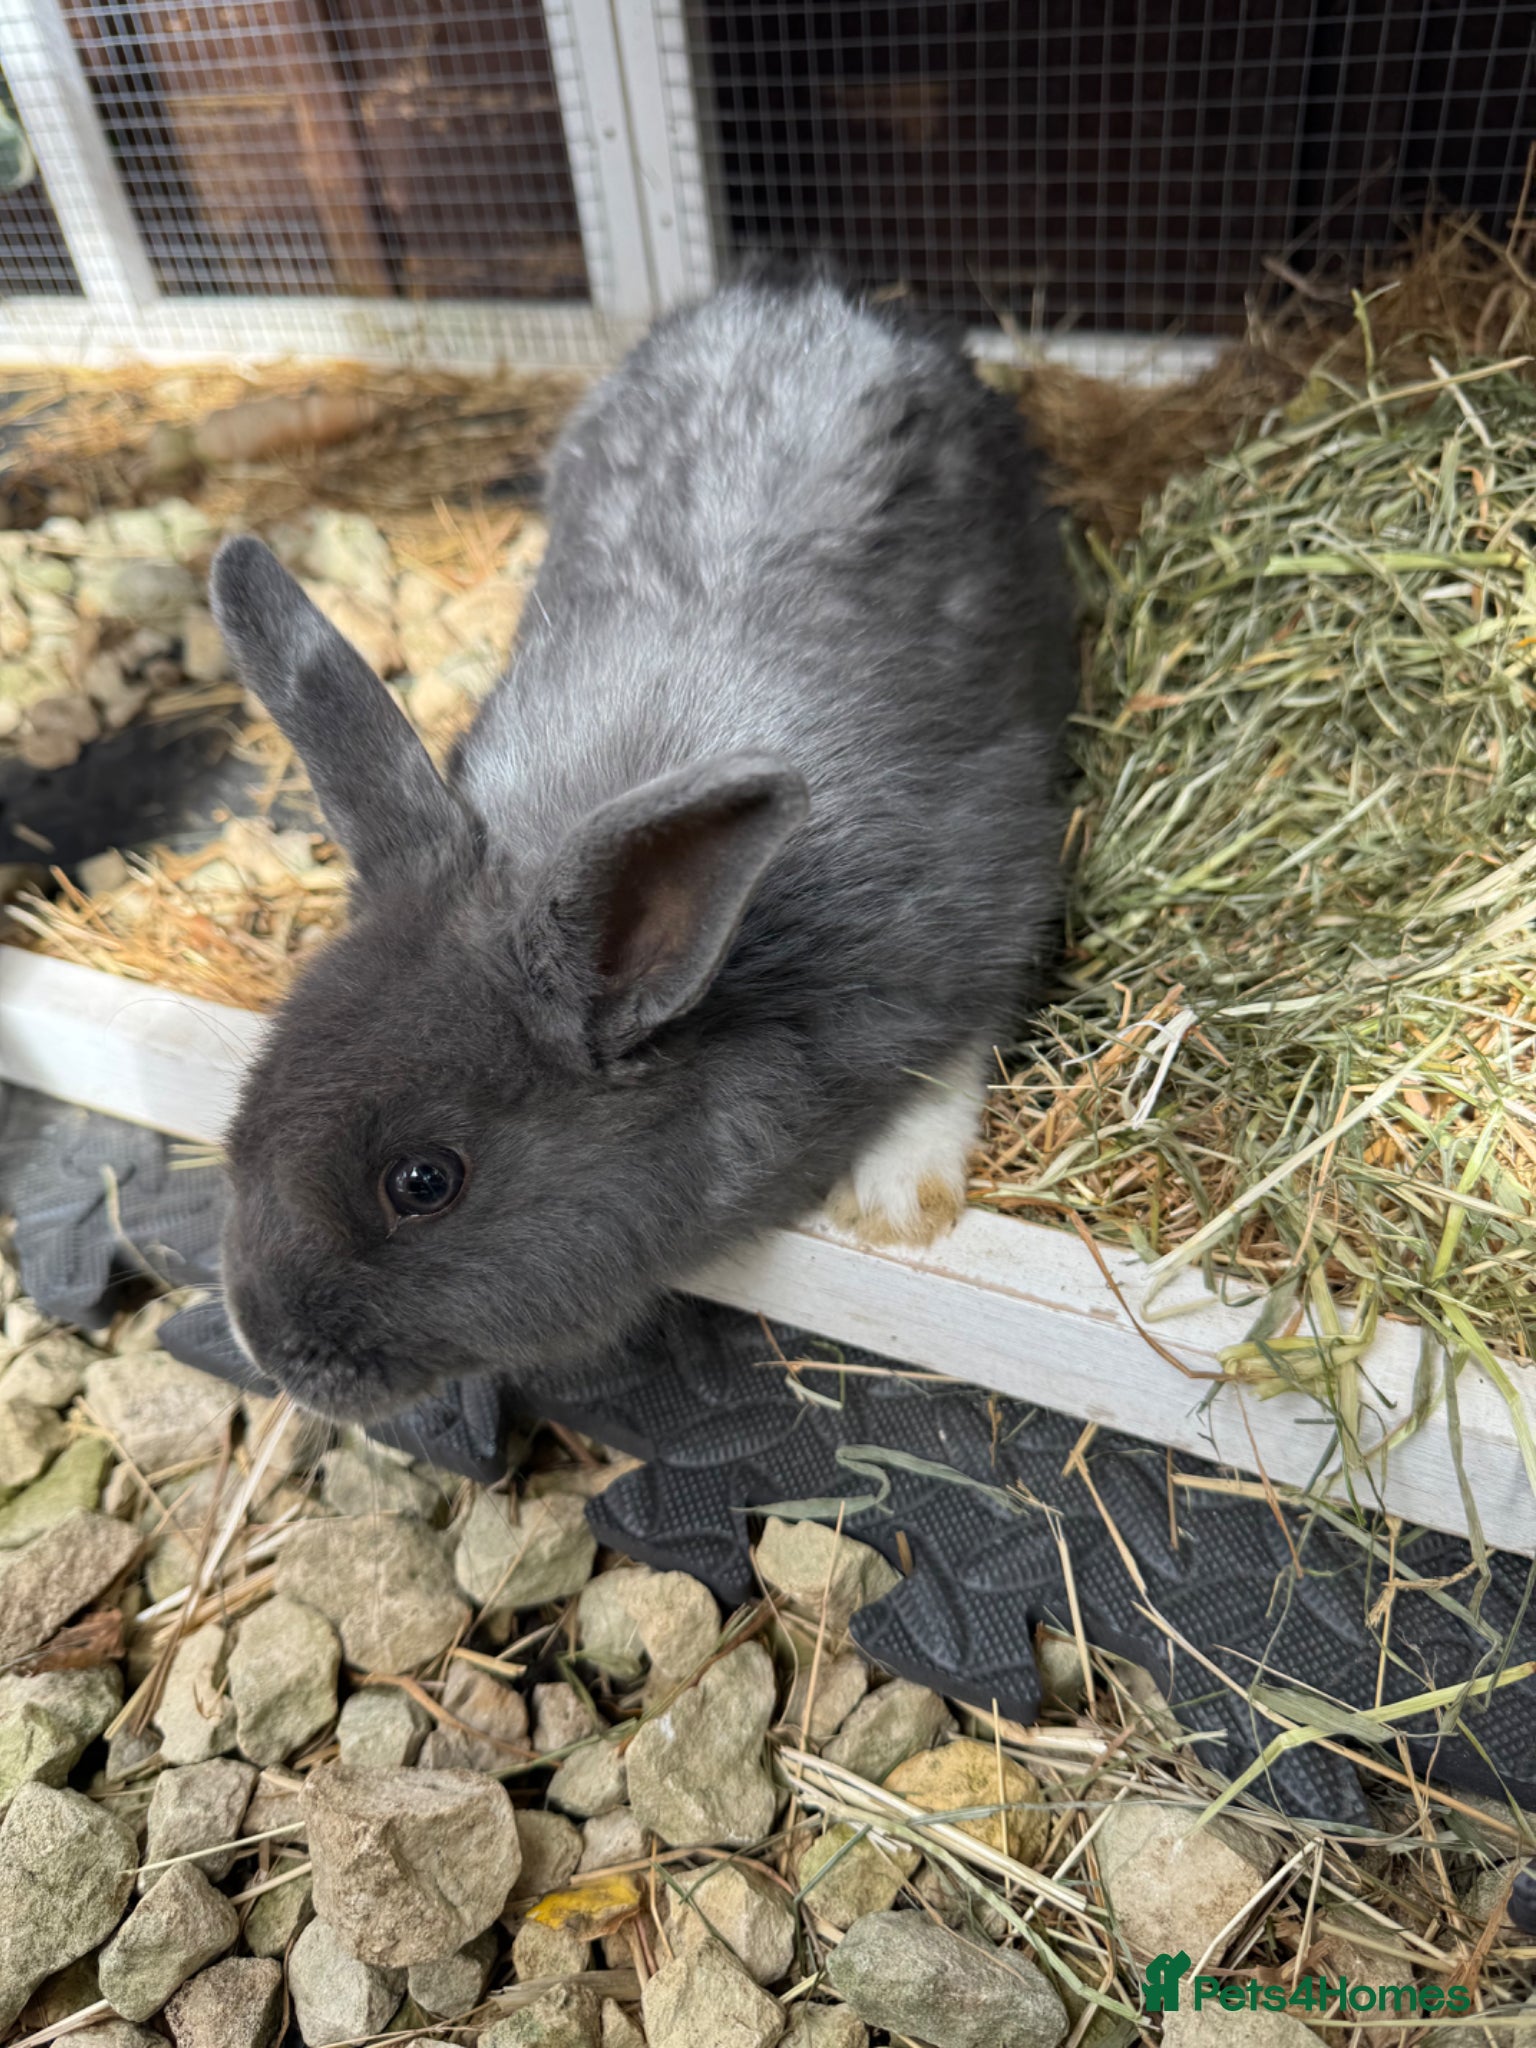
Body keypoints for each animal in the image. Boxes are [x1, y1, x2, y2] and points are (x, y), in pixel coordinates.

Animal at [208, 266, 1076, 1422]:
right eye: (250, 1099)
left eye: (423, 1183)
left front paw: (899, 1205)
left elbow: (950, 1058)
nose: (272, 1350)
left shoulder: (985, 894)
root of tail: (806, 298)